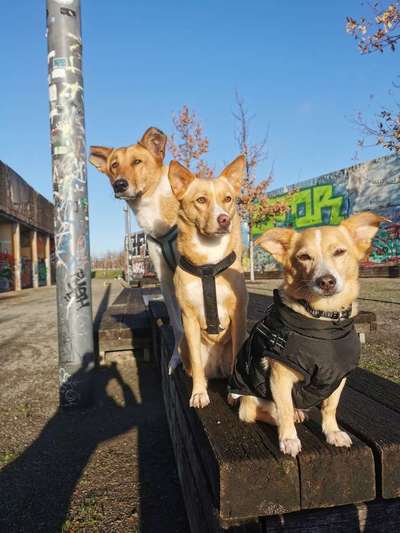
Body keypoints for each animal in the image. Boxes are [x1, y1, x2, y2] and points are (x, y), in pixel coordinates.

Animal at [88, 128, 183, 370]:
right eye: (114, 165)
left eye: (137, 161)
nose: (119, 185)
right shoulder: (166, 277)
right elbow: (178, 324)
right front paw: (177, 357)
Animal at [168, 156, 247, 406]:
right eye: (201, 200)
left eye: (228, 199)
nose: (224, 220)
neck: (209, 264)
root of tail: (218, 370)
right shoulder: (189, 318)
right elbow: (196, 364)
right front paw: (199, 393)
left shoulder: (238, 313)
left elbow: (238, 356)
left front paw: (236, 393)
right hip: (183, 344)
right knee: (196, 367)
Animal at [228, 213, 388, 458]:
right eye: (303, 257)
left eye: (340, 252)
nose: (326, 281)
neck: (323, 321)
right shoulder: (280, 378)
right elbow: (284, 410)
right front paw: (288, 438)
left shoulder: (336, 377)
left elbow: (330, 407)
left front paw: (332, 432)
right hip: (251, 399)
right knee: (262, 413)